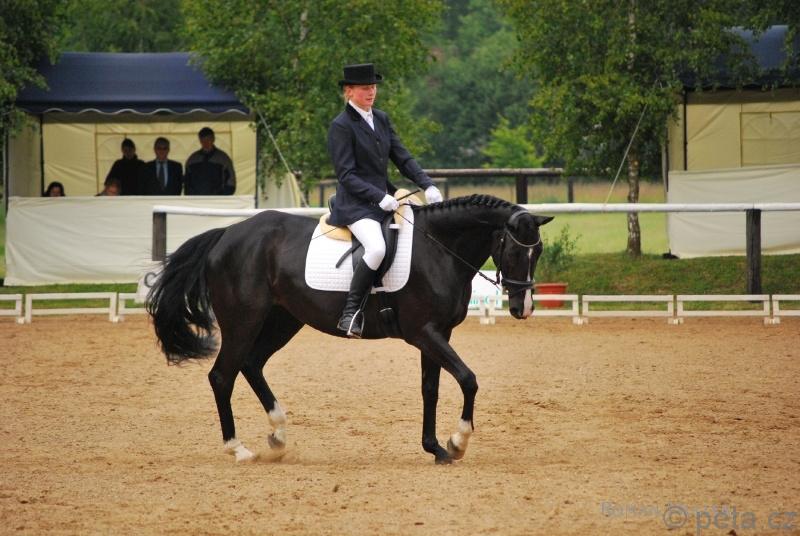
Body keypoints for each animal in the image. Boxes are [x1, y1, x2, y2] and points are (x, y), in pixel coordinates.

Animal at [146, 194, 553, 464]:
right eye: (515, 251)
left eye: (538, 252)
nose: (523, 308)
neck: (438, 250)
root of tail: (226, 234)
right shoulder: (424, 333)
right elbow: (468, 379)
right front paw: (457, 441)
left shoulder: (438, 335)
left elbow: (431, 390)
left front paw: (435, 447)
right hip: (243, 321)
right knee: (222, 375)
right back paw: (238, 448)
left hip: (283, 320)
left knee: (251, 364)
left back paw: (278, 434)